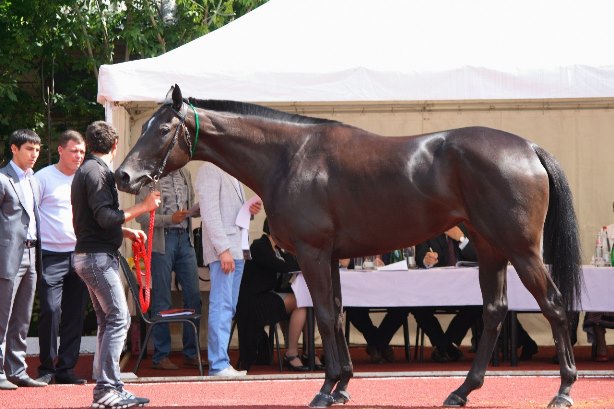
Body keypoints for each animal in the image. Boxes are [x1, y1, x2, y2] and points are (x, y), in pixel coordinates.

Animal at [115, 84, 582, 408]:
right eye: (144, 126)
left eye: (162, 129)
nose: (124, 176)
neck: (290, 157)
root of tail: (528, 148)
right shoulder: (331, 258)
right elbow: (338, 315)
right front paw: (342, 385)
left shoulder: (312, 254)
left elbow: (324, 316)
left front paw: (326, 388)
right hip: (490, 249)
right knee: (494, 311)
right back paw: (463, 390)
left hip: (521, 250)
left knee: (555, 306)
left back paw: (563, 389)